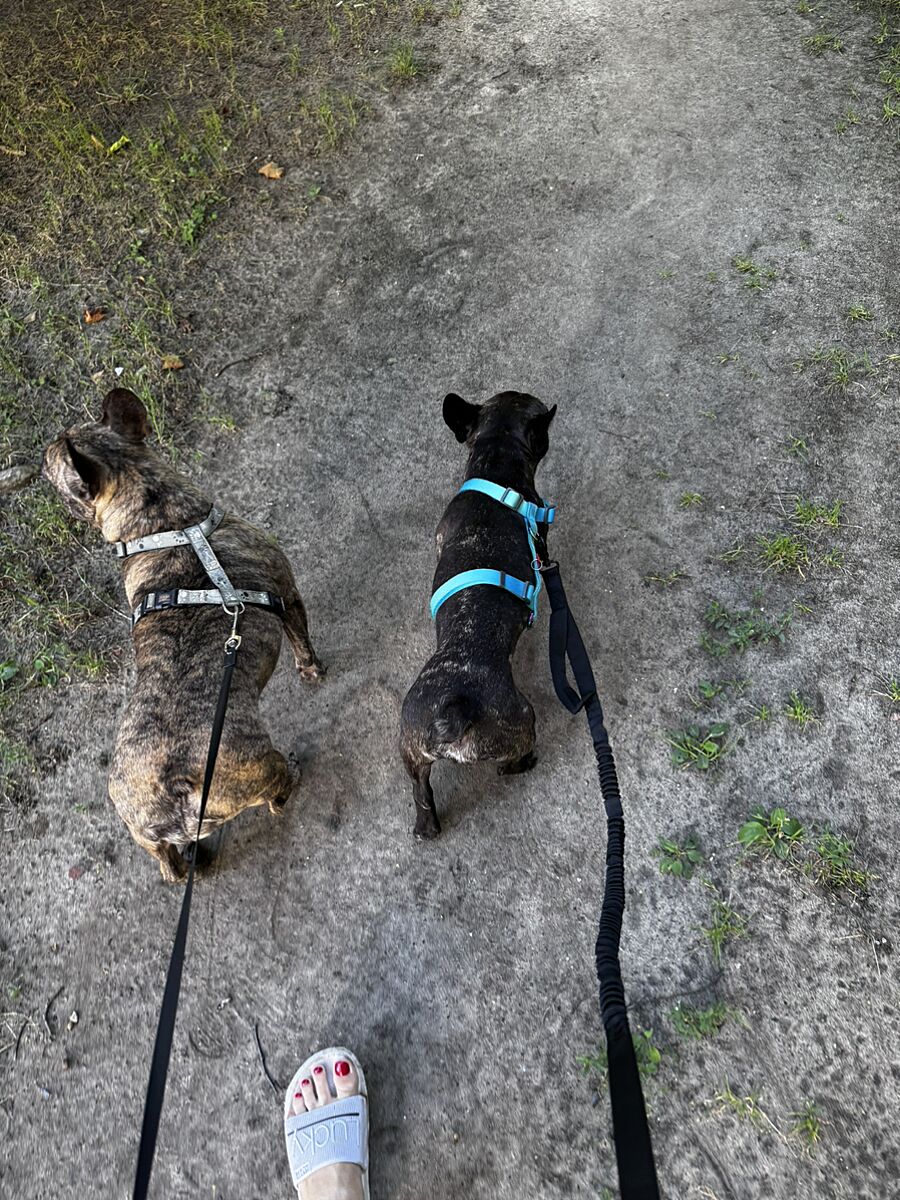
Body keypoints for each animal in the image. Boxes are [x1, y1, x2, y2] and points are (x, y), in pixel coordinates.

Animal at [43, 388, 324, 881]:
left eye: (51, 467)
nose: (38, 462)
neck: (162, 522)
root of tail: (174, 787)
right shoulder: (288, 595)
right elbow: (301, 642)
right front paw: (313, 671)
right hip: (259, 768)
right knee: (277, 795)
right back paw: (294, 772)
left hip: (145, 833)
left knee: (170, 868)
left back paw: (194, 864)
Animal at [400, 390, 556, 838]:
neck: (496, 466)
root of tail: (455, 709)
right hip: (521, 720)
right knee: (510, 763)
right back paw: (525, 763)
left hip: (410, 747)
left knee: (421, 792)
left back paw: (426, 828)